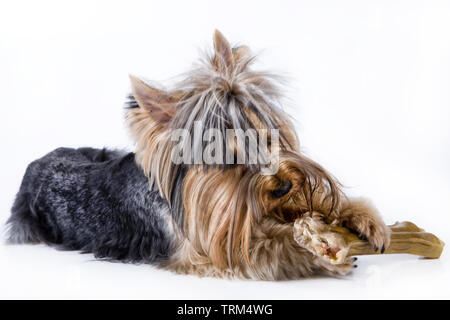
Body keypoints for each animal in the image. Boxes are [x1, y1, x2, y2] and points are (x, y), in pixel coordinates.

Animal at [6, 30, 390, 280]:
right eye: (229, 160)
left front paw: (359, 216)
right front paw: (317, 252)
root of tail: (37, 162)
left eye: (267, 138)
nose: (282, 186)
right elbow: (261, 248)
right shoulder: (202, 250)